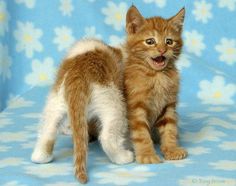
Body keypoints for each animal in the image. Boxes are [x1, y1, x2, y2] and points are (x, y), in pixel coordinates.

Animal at [123, 5, 188, 163]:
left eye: (169, 41)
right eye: (150, 41)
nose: (162, 50)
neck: (157, 76)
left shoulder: (168, 105)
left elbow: (170, 128)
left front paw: (171, 149)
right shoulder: (136, 107)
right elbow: (141, 133)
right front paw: (147, 154)